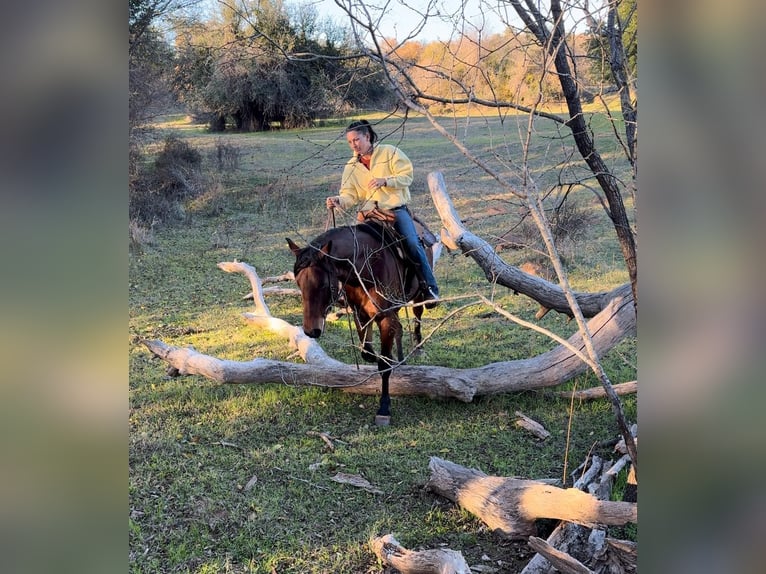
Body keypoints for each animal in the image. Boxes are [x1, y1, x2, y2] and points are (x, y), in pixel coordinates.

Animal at [286, 222, 438, 428]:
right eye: (299, 284)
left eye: (324, 284)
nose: (311, 330)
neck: (366, 267)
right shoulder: (361, 315)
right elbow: (367, 352)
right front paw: (387, 360)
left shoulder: (385, 317)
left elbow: (383, 363)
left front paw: (384, 408)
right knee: (398, 328)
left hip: (419, 296)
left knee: (417, 315)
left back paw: (418, 348)